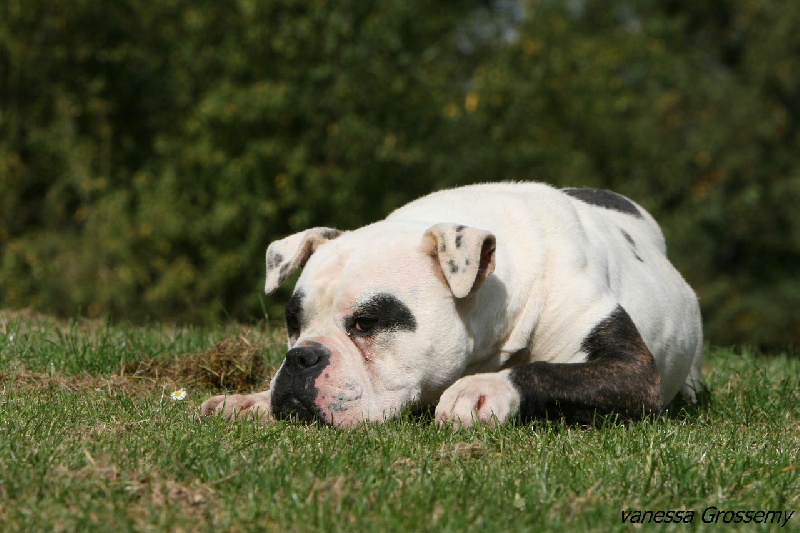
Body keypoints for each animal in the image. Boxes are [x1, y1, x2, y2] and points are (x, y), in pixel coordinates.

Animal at [203, 183, 704, 428]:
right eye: (292, 322)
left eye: (366, 323)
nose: (300, 358)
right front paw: (250, 400)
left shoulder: (632, 369)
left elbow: (546, 370)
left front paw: (483, 389)